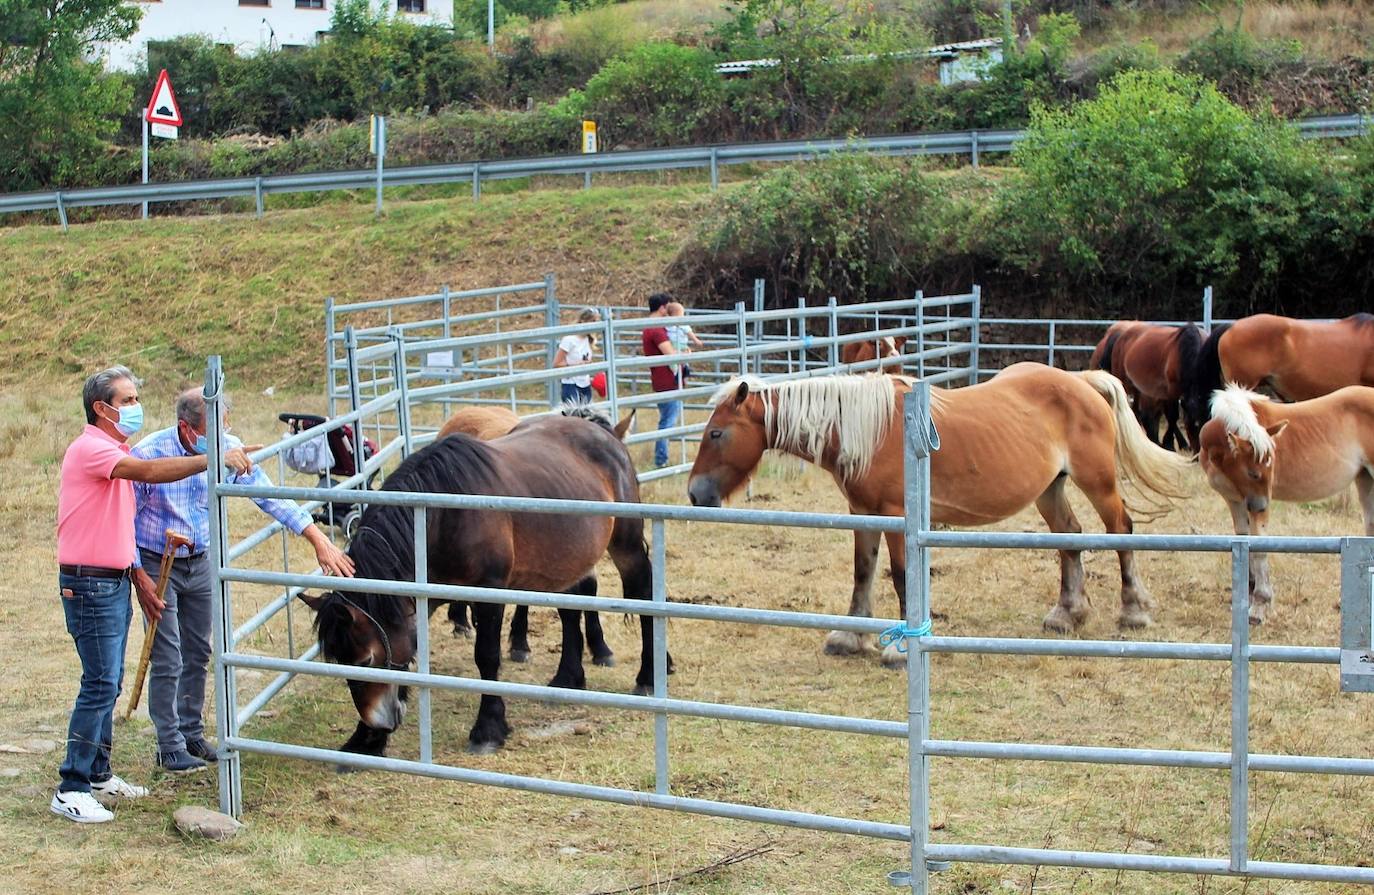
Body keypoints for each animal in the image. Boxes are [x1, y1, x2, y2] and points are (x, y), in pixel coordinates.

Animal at [300, 412, 665, 758]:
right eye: (341, 662)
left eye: (365, 661)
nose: (379, 722)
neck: (441, 518)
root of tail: (606, 435)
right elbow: (407, 653)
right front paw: (365, 740)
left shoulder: (488, 592)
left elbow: (486, 656)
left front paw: (488, 729)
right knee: (571, 609)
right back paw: (568, 678)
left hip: (626, 545)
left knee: (644, 595)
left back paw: (648, 677)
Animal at [687, 365, 1192, 665]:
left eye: (716, 433)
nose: (695, 493)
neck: (867, 427)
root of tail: (1082, 381)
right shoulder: (863, 511)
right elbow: (863, 571)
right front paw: (850, 638)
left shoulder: (896, 514)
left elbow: (900, 575)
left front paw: (900, 649)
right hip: (1050, 489)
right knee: (1070, 536)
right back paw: (1067, 614)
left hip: (1098, 482)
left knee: (1121, 530)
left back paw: (1133, 610)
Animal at [1093, 320, 1203, 456]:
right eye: (1191, 426)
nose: (1198, 455)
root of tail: (1120, 334)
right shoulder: (1171, 392)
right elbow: (1172, 416)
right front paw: (1168, 444)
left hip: (1139, 390)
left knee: (1139, 412)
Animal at [1198, 382, 1374, 624]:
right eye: (1253, 473)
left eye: (1272, 468)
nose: (1263, 506)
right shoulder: (1236, 500)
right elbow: (1244, 543)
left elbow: (1259, 548)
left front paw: (1259, 606)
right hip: (1365, 479)